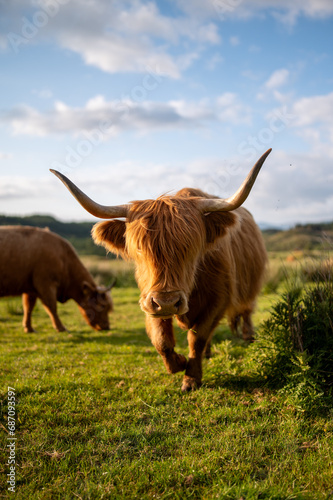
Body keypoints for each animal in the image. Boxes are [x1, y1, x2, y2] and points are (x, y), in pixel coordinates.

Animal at [51, 148, 270, 390]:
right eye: (139, 249)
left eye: (191, 247)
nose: (167, 302)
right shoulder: (149, 297)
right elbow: (161, 339)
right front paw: (180, 362)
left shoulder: (219, 298)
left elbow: (198, 337)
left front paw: (191, 378)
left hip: (251, 284)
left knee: (247, 309)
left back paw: (248, 336)